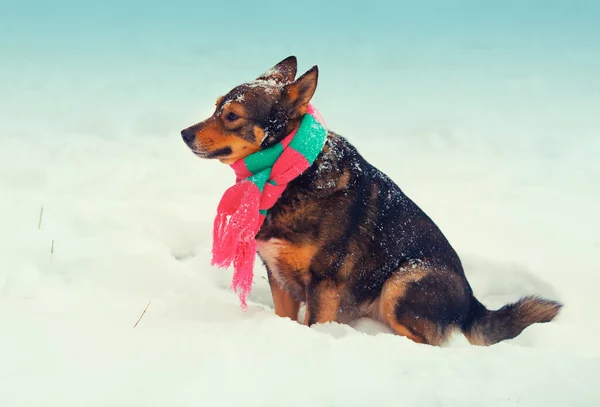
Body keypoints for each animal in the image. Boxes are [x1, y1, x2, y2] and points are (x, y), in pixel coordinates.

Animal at [179, 55, 564, 346]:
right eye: (215, 108)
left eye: (232, 116)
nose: (183, 134)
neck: (291, 174)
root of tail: (471, 303)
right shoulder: (279, 277)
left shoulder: (323, 284)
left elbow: (313, 325)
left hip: (403, 280)